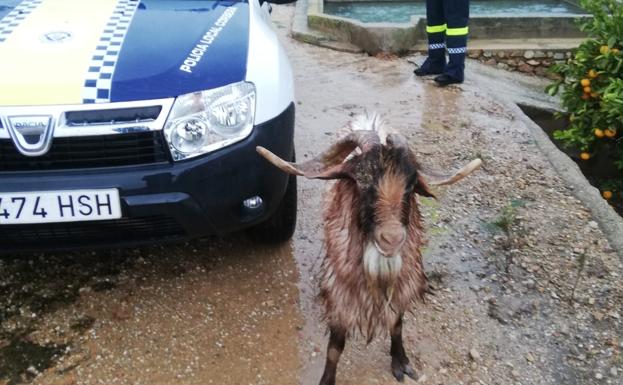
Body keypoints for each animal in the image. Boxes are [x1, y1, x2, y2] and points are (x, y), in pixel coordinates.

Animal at [256, 113, 480, 384]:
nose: (392, 239)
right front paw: (327, 379)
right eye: (361, 181)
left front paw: (400, 361)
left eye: (411, 185)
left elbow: (397, 324)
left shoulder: (402, 284)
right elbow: (335, 347)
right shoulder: (342, 293)